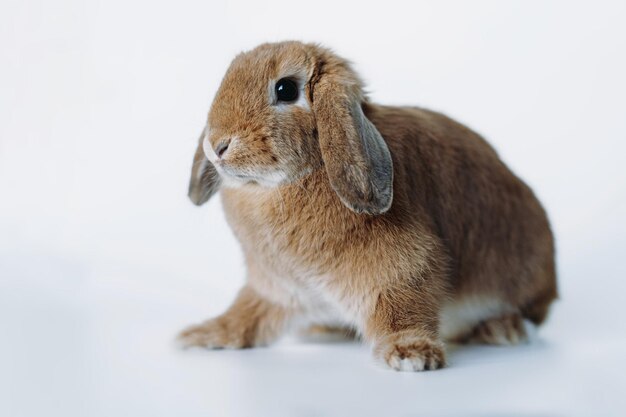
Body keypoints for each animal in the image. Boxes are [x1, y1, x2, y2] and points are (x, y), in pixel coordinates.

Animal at [179, 39, 556, 370]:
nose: (217, 145)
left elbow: (403, 308)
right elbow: (247, 316)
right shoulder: (276, 287)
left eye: (286, 89)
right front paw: (202, 335)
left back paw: (504, 329)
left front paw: (411, 354)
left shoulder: (404, 266)